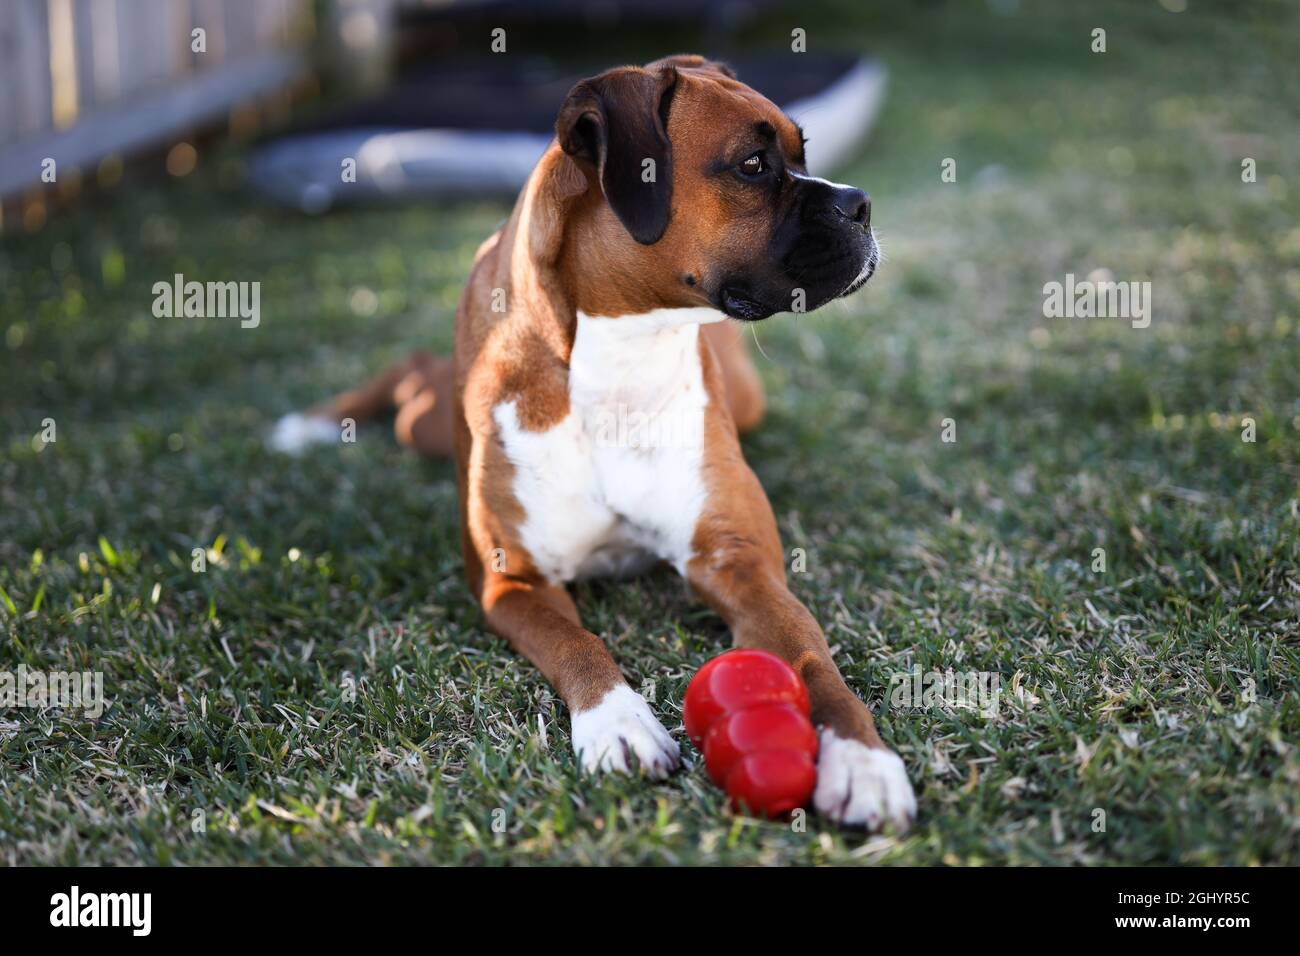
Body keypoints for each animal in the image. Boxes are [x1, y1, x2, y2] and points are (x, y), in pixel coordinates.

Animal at [276, 54, 915, 832]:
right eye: (753, 165)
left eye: (804, 152)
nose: (860, 204)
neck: (621, 356)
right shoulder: (512, 581)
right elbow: (576, 642)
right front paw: (619, 723)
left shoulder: (741, 564)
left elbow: (812, 658)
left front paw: (862, 758)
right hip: (427, 420)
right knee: (412, 376)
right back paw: (311, 424)